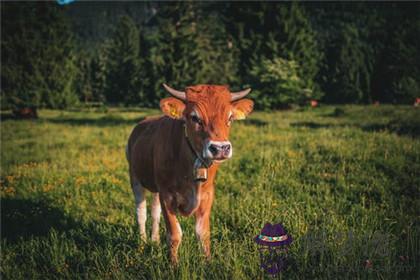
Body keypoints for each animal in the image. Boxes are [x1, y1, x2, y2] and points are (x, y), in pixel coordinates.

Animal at [125, 84, 253, 264]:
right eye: (194, 118)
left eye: (230, 118)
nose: (220, 148)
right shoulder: (167, 194)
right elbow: (174, 234)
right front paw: (173, 265)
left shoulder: (207, 195)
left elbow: (203, 233)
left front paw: (208, 263)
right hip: (134, 177)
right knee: (141, 213)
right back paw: (142, 244)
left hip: (156, 188)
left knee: (155, 212)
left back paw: (154, 240)